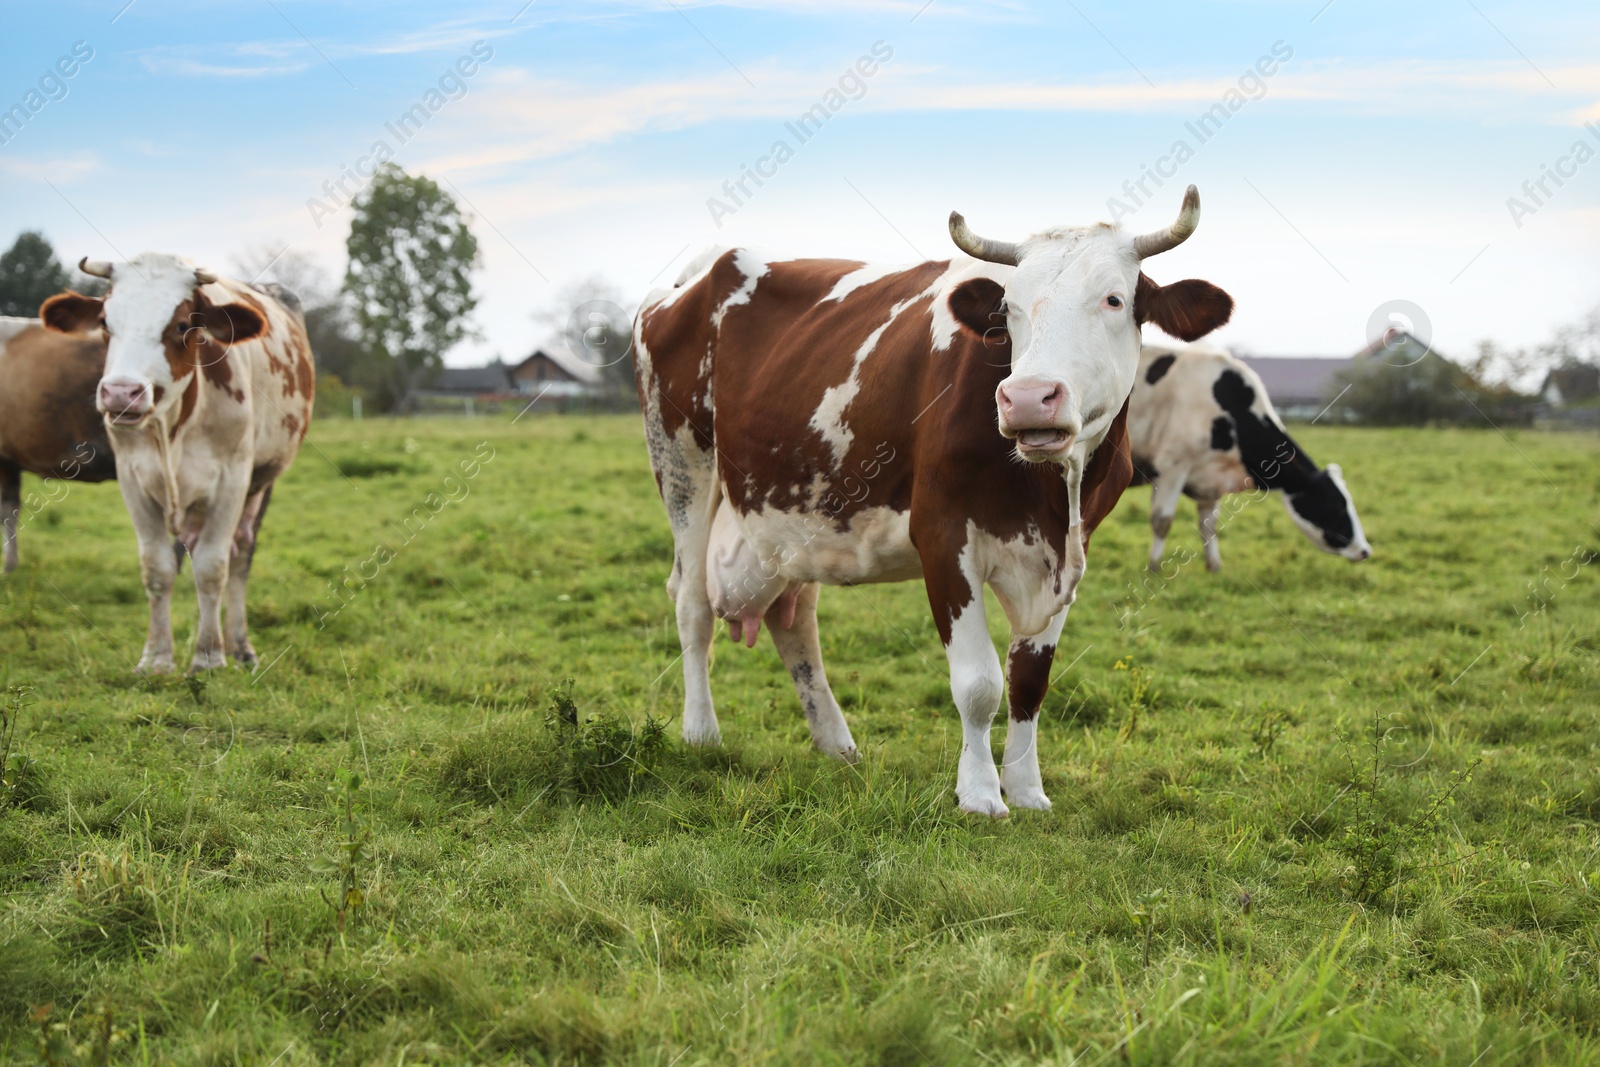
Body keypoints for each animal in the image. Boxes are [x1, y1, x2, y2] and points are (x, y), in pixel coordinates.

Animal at [41, 254, 315, 671]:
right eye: (105, 321)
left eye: (183, 325)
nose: (121, 392)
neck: (174, 425)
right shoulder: (133, 481)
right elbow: (158, 568)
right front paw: (156, 658)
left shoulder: (232, 480)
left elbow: (212, 568)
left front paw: (208, 657)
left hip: (262, 481)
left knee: (240, 554)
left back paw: (238, 646)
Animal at [636, 185, 1235, 819]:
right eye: (1008, 311)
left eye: (1114, 299)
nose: (1029, 398)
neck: (1052, 493)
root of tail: (696, 273)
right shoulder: (943, 535)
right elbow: (979, 684)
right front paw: (980, 793)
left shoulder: (1075, 548)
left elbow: (1030, 681)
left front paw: (1027, 790)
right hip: (683, 467)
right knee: (692, 604)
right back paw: (702, 732)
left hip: (792, 515)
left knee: (793, 620)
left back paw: (836, 743)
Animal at [1126, 343, 1376, 575]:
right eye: (1336, 505)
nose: (1365, 550)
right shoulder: (1171, 468)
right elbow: (1162, 521)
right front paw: (1154, 568)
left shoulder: (1209, 481)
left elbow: (1209, 526)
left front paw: (1214, 567)